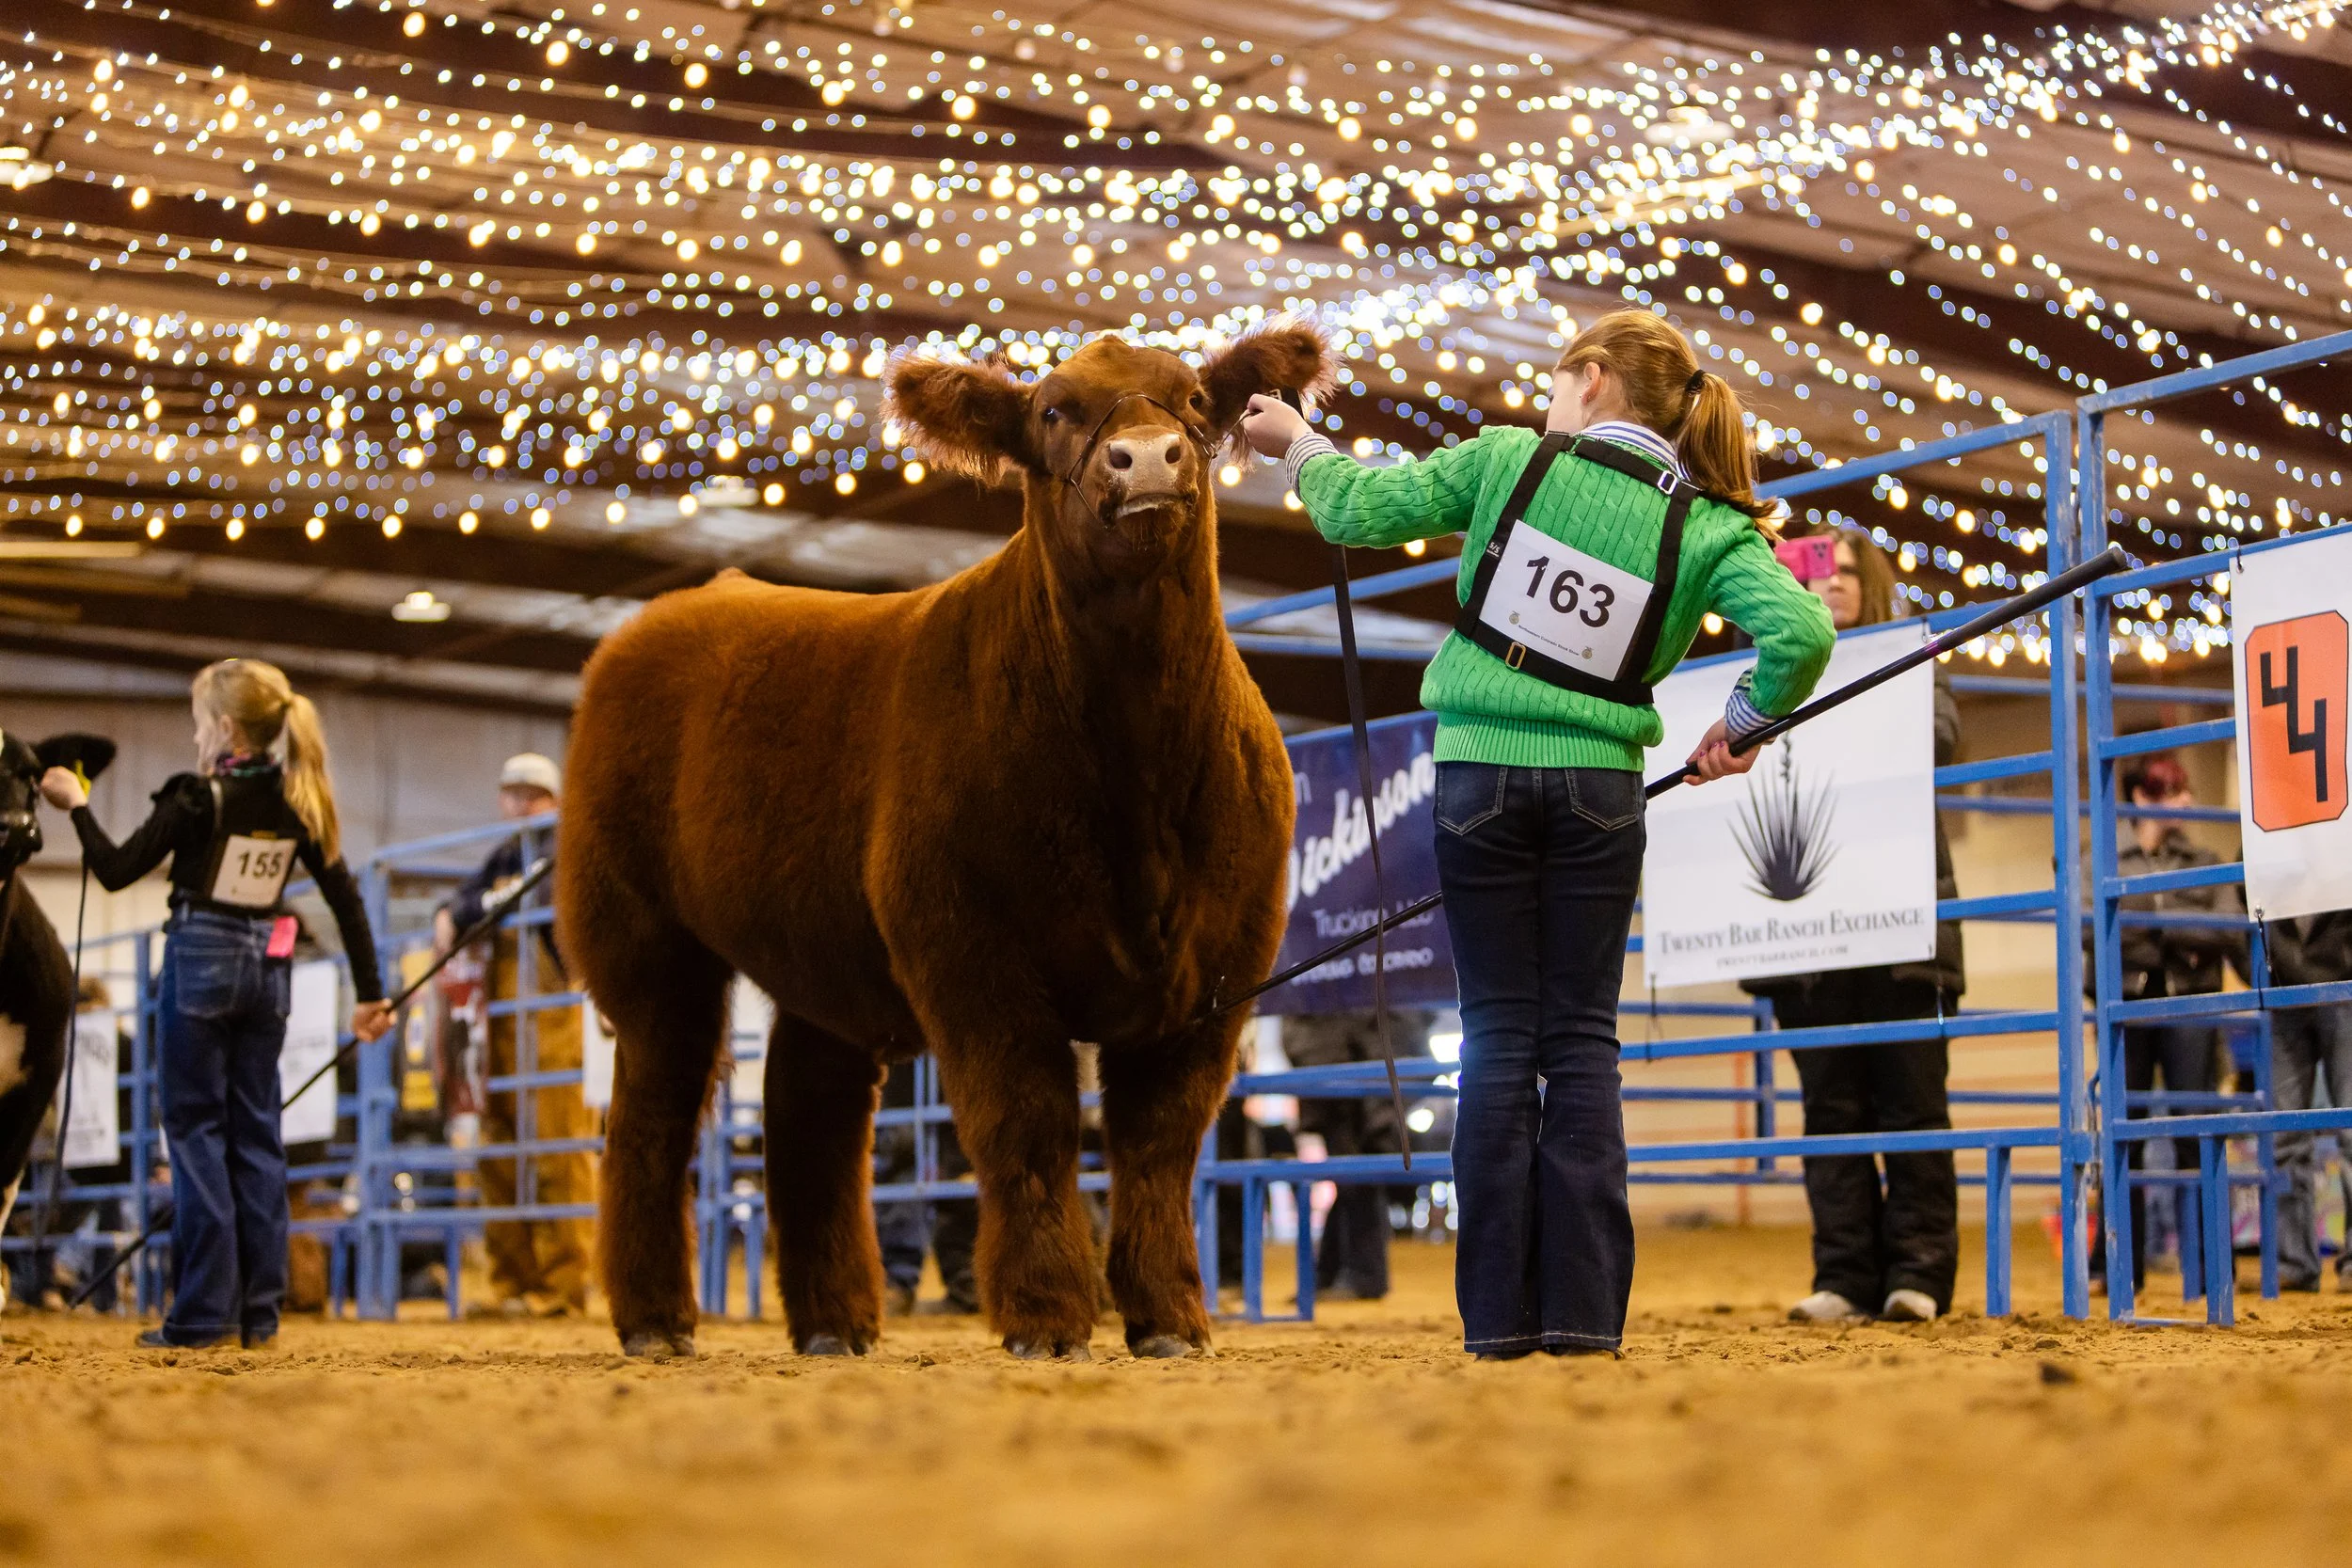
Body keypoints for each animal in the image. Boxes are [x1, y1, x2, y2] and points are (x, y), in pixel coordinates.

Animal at [558, 325, 1329, 1362]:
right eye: (1053, 410)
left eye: (1197, 400)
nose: (1146, 459)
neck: (1136, 779)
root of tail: (667, 615)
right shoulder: (970, 948)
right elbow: (1027, 1122)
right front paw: (1046, 1315)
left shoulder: (1220, 966)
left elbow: (1161, 1145)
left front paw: (1170, 1317)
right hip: (641, 937)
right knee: (655, 1106)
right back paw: (654, 1320)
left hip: (823, 948)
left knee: (811, 1103)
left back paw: (835, 1322)